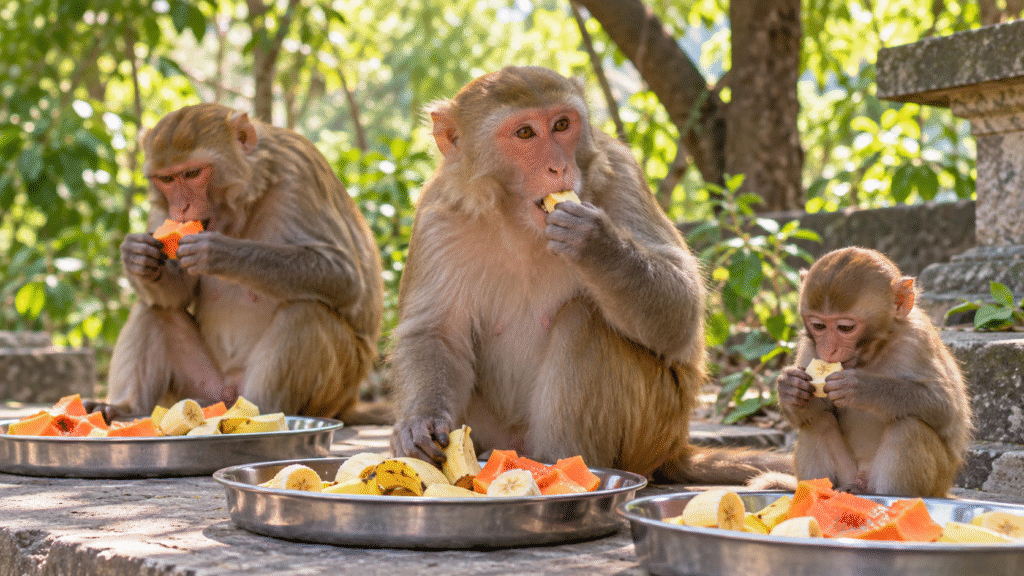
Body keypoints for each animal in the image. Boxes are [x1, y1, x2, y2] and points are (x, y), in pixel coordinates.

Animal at [99, 103, 383, 422]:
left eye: (193, 173)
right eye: (167, 179)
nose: (181, 208)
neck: (250, 195)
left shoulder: (299, 174)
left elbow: (345, 277)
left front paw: (220, 252)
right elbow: (175, 296)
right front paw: (137, 256)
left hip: (334, 390)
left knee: (306, 311)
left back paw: (263, 413)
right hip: (205, 385)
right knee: (154, 309)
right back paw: (124, 408)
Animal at [389, 66, 790, 483]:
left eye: (562, 125)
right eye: (525, 133)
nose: (560, 168)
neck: (518, 221)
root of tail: (674, 447)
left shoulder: (620, 172)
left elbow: (682, 311)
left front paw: (598, 244)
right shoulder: (437, 215)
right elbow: (436, 332)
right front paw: (419, 426)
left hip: (655, 424)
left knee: (584, 321)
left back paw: (563, 465)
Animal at [776, 247, 972, 497]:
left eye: (845, 328)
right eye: (818, 326)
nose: (828, 350)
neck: (872, 353)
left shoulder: (917, 340)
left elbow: (945, 407)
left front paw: (862, 388)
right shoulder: (811, 347)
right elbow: (813, 411)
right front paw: (790, 386)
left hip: (935, 481)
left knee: (908, 427)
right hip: (848, 473)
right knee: (818, 424)